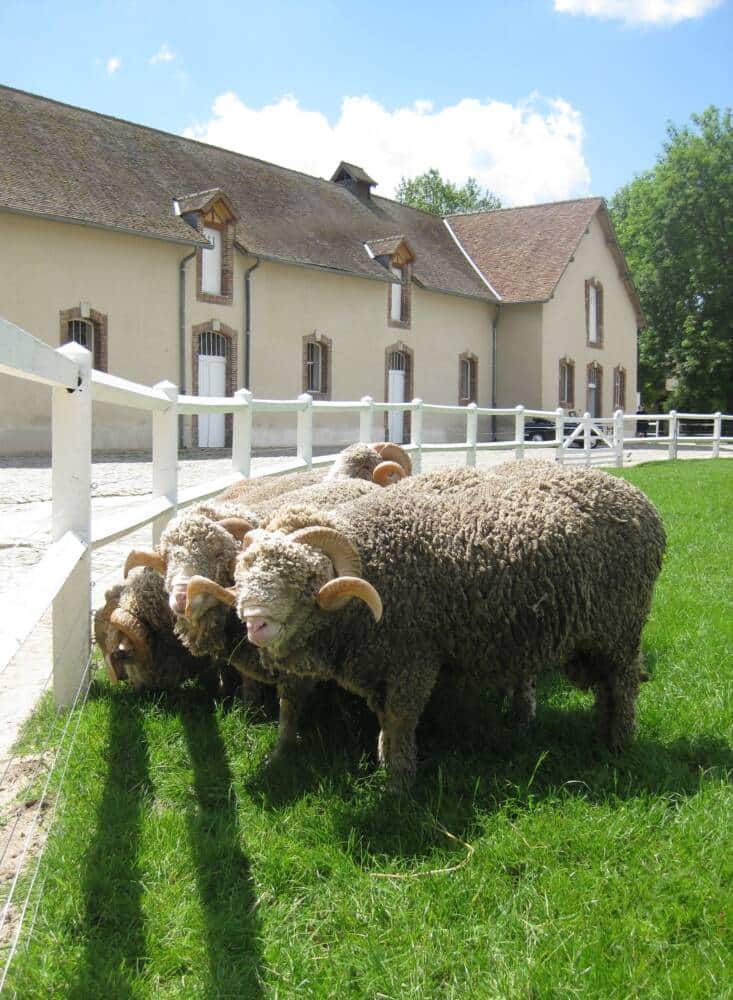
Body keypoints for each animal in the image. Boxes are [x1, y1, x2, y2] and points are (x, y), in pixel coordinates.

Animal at [187, 466, 664, 788]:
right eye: (242, 572)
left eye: (303, 576)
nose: (254, 622)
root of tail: (640, 499)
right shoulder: (380, 666)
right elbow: (385, 721)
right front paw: (387, 764)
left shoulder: (412, 661)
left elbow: (399, 722)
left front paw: (398, 784)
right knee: (606, 689)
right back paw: (598, 731)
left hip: (620, 628)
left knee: (622, 685)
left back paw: (618, 743)